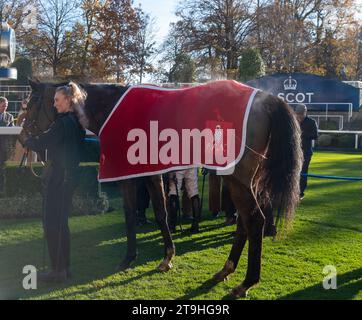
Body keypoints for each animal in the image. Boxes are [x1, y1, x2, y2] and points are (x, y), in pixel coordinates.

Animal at [19, 79, 302, 298]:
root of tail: (267, 99)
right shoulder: (152, 173)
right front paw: (167, 257)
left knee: (254, 220)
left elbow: (131, 215)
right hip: (245, 180)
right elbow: (161, 212)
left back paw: (246, 282)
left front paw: (129, 258)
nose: (23, 138)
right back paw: (226, 268)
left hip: (237, 178)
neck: (113, 108)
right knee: (245, 221)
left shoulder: (128, 176)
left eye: (31, 103)